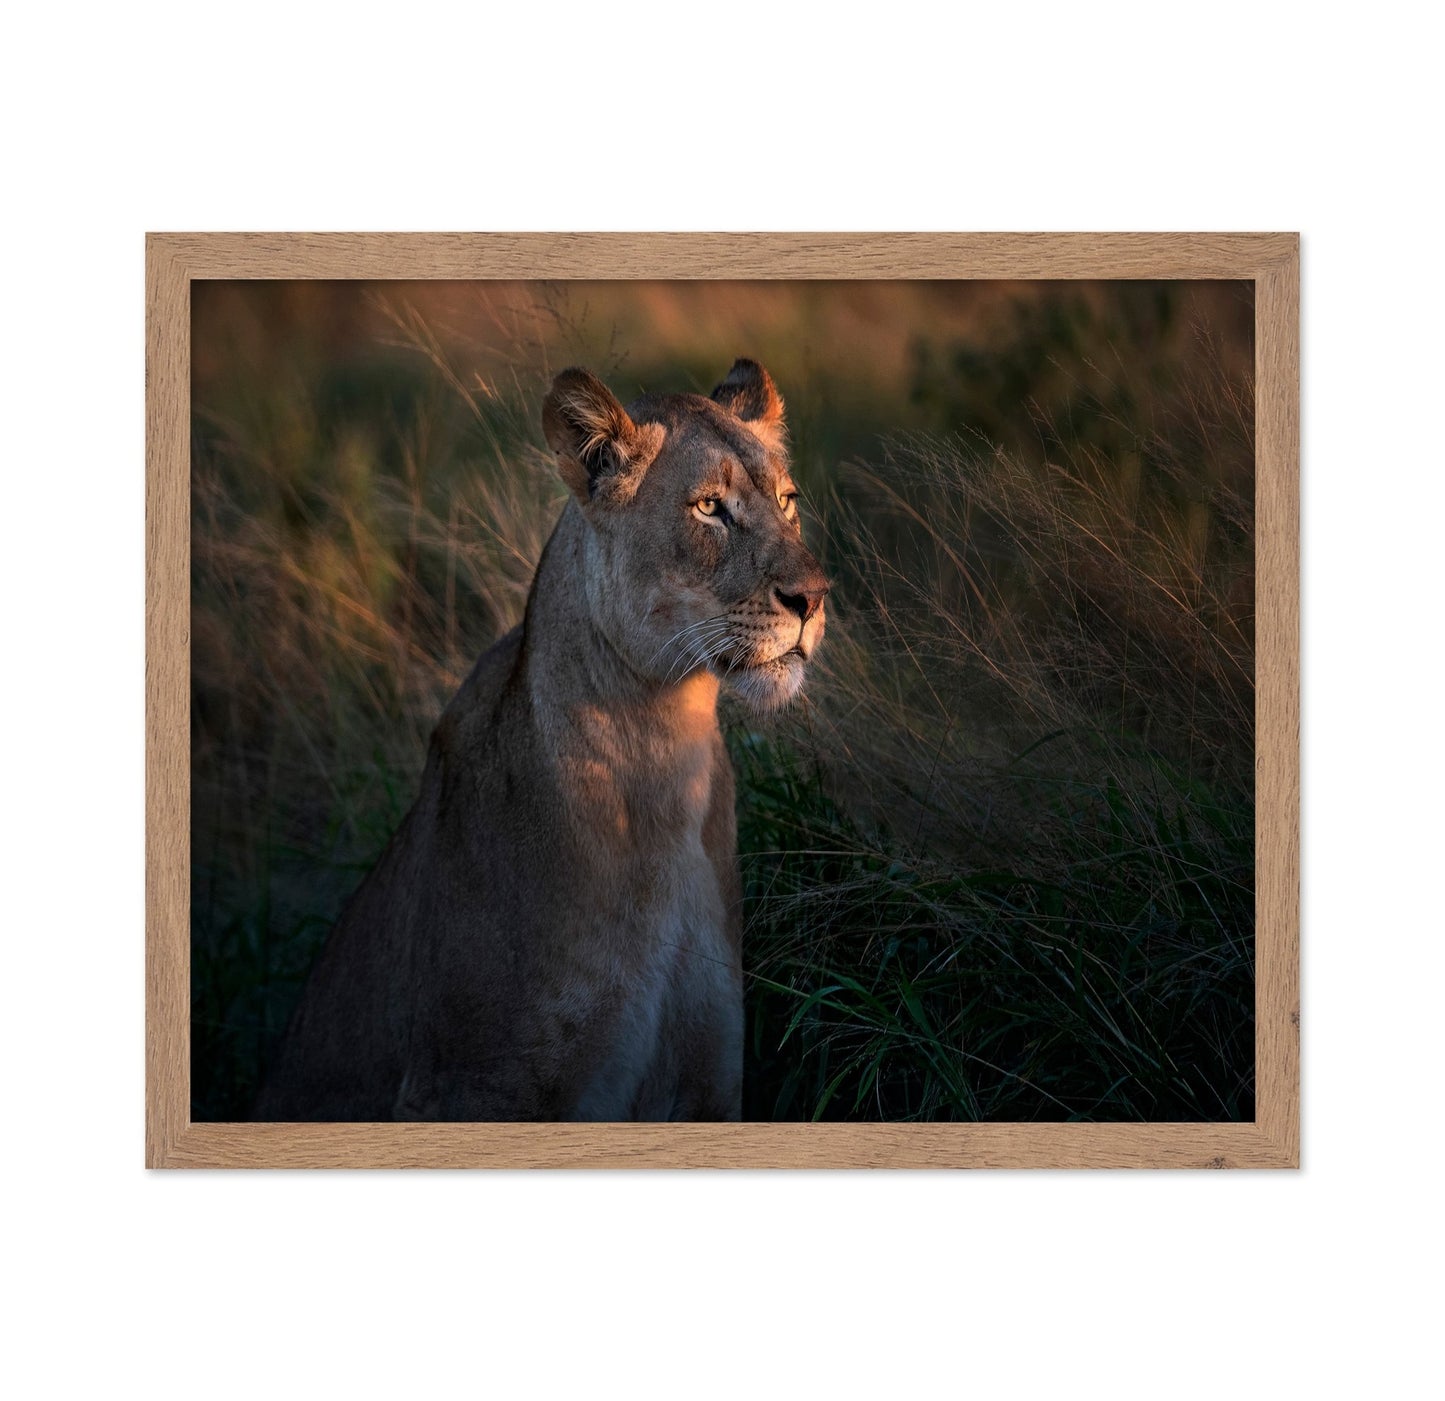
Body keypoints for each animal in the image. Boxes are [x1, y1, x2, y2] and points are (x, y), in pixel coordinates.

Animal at [255, 359, 829, 1121]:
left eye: (787, 500)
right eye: (709, 508)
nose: (814, 597)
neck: (665, 746)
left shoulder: (709, 1075)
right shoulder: (477, 1089)